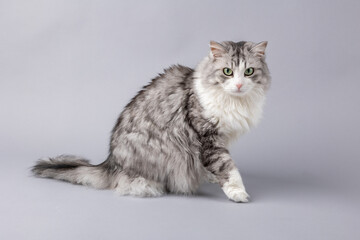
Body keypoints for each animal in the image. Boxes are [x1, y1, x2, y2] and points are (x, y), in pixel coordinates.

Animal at [32, 40, 270, 202]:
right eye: (227, 72)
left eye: (248, 72)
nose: (238, 85)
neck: (235, 101)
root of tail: (110, 162)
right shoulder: (208, 136)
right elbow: (227, 167)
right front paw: (238, 192)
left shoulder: (221, 138)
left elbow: (216, 165)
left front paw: (212, 176)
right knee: (128, 182)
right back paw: (149, 185)